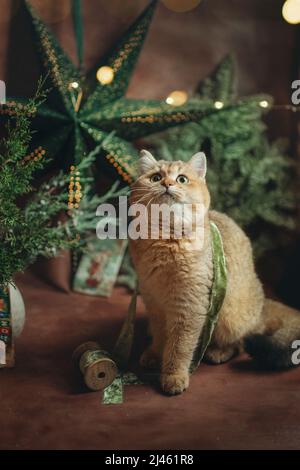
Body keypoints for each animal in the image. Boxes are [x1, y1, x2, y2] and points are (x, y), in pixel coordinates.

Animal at [129, 150, 300, 392]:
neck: (165, 238)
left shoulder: (189, 307)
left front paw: (173, 375)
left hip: (229, 314)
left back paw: (218, 351)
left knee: (240, 342)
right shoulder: (153, 300)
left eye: (182, 179)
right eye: (155, 178)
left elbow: (179, 347)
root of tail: (262, 306)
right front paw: (155, 354)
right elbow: (161, 335)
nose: (168, 184)